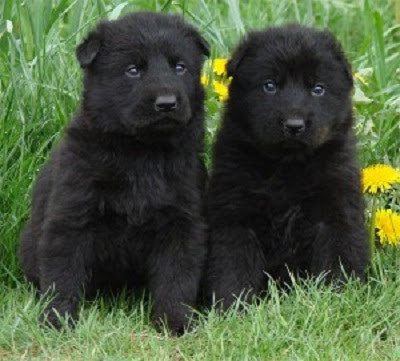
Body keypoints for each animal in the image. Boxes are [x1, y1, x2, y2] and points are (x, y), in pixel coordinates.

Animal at [19, 11, 209, 332]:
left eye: (180, 67)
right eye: (133, 70)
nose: (167, 103)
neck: (141, 153)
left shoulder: (182, 222)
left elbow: (177, 278)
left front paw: (175, 322)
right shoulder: (71, 216)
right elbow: (63, 274)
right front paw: (58, 319)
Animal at [205, 23, 370, 308]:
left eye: (318, 88)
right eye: (270, 86)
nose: (294, 125)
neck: (287, 166)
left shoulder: (336, 205)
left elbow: (340, 252)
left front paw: (340, 298)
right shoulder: (234, 210)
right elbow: (232, 263)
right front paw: (232, 305)